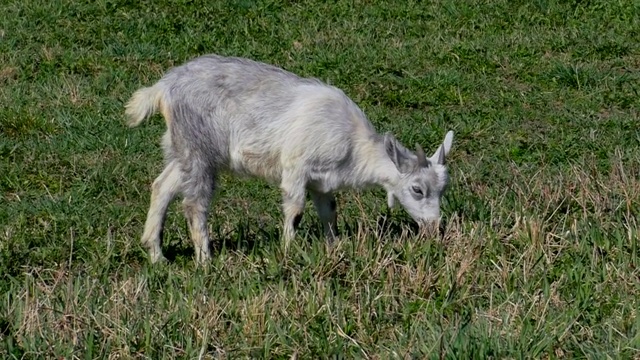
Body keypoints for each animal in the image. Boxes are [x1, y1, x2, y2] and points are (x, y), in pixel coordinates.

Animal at [126, 54, 456, 264]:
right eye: (417, 189)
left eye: (443, 189)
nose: (434, 227)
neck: (353, 143)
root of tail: (162, 88)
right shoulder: (296, 167)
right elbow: (295, 210)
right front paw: (288, 250)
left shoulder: (322, 182)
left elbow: (329, 212)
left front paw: (333, 247)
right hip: (199, 149)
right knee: (195, 203)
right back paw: (205, 260)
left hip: (181, 147)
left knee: (162, 185)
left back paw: (157, 255)